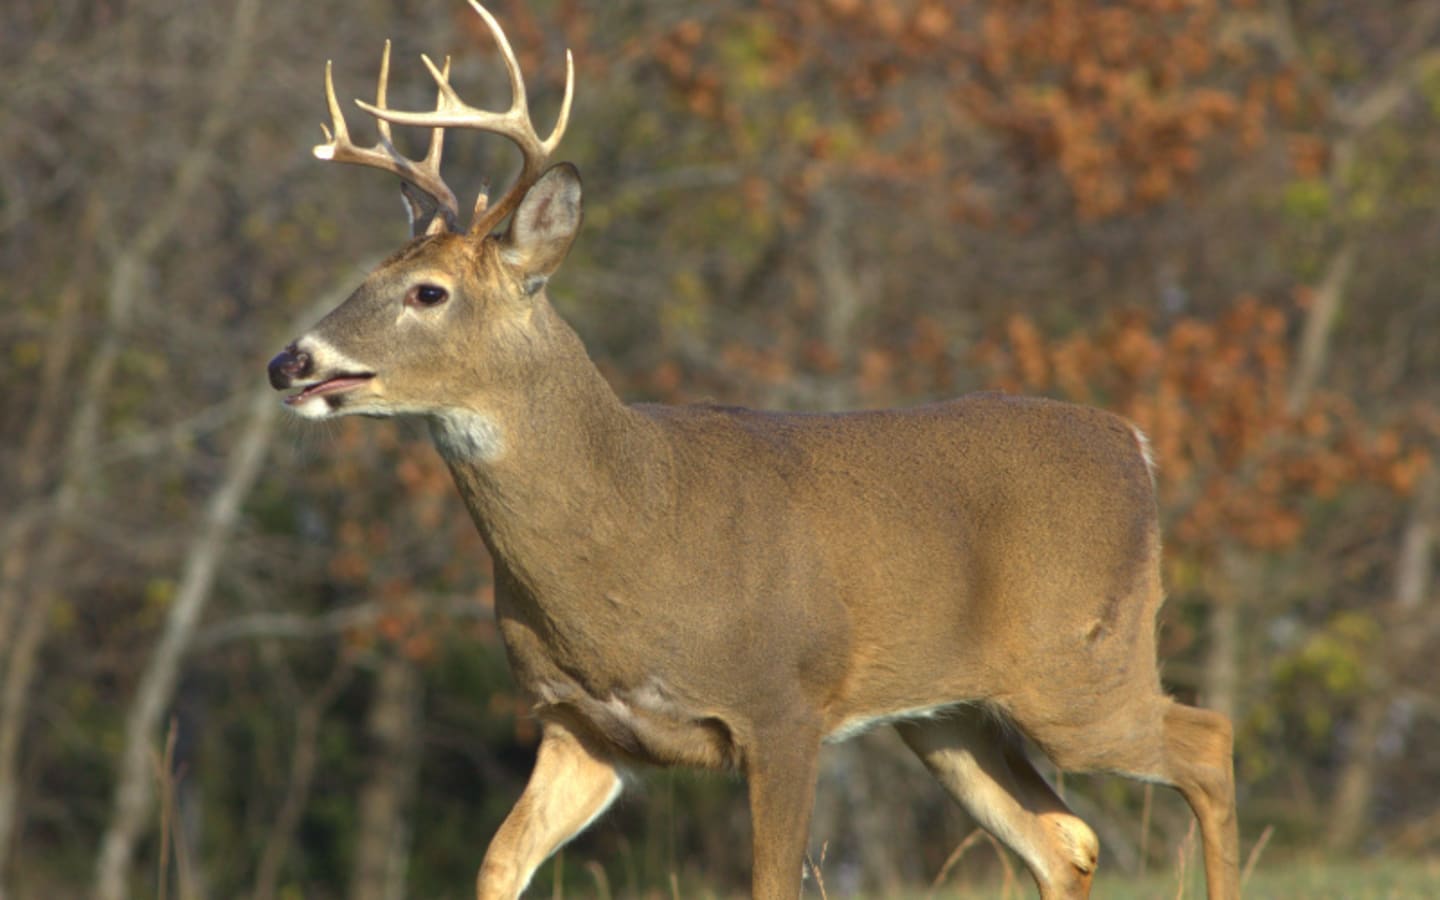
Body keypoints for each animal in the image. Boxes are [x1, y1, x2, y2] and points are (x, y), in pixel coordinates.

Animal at [266, 3, 1239, 898]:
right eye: (371, 274)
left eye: (428, 292)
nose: (289, 361)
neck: (635, 527)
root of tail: (1136, 444)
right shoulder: (578, 727)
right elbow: (498, 864)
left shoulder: (783, 706)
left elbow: (770, 879)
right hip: (950, 713)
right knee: (1066, 840)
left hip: (1078, 665)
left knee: (1208, 744)